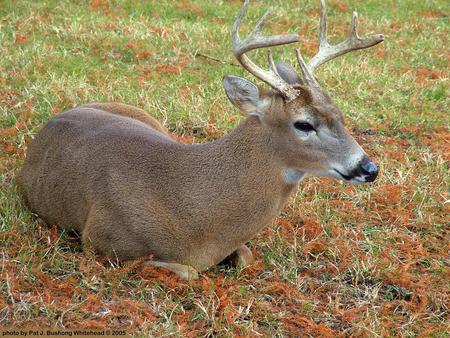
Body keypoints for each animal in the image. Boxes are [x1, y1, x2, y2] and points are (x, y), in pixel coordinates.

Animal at [17, 0, 384, 280]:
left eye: (340, 114)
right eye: (304, 124)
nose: (369, 168)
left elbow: (246, 256)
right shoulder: (99, 238)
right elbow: (189, 271)